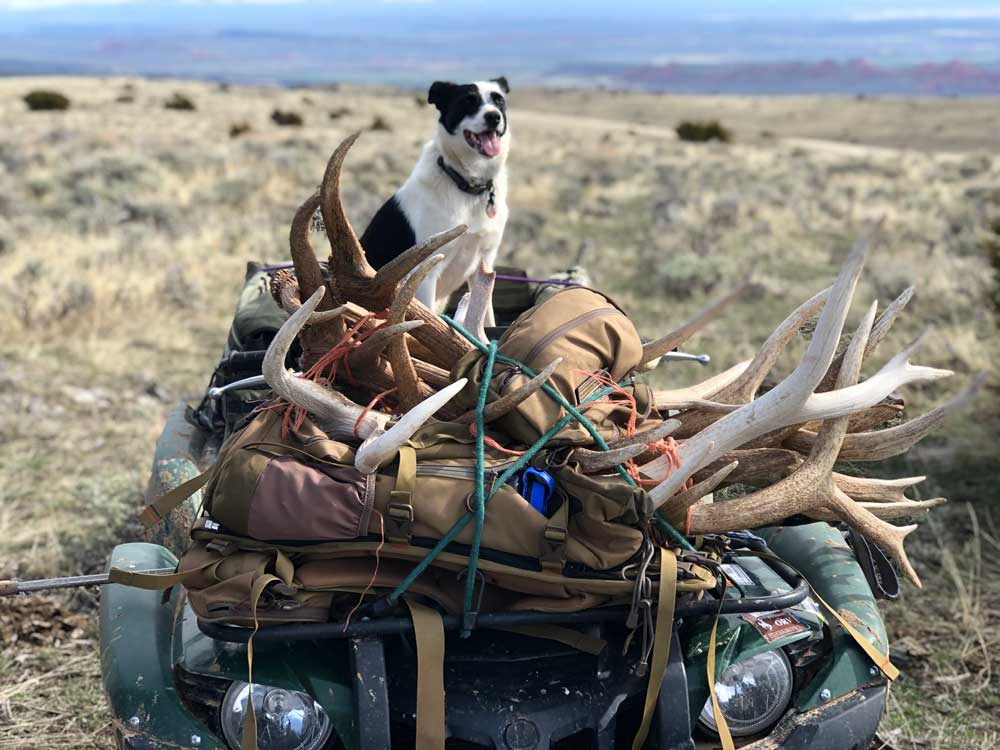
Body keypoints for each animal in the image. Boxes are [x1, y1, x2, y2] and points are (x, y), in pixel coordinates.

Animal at [362, 76, 512, 312]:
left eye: (499, 100)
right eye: (468, 101)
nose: (493, 116)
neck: (469, 188)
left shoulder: (485, 265)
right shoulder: (427, 269)